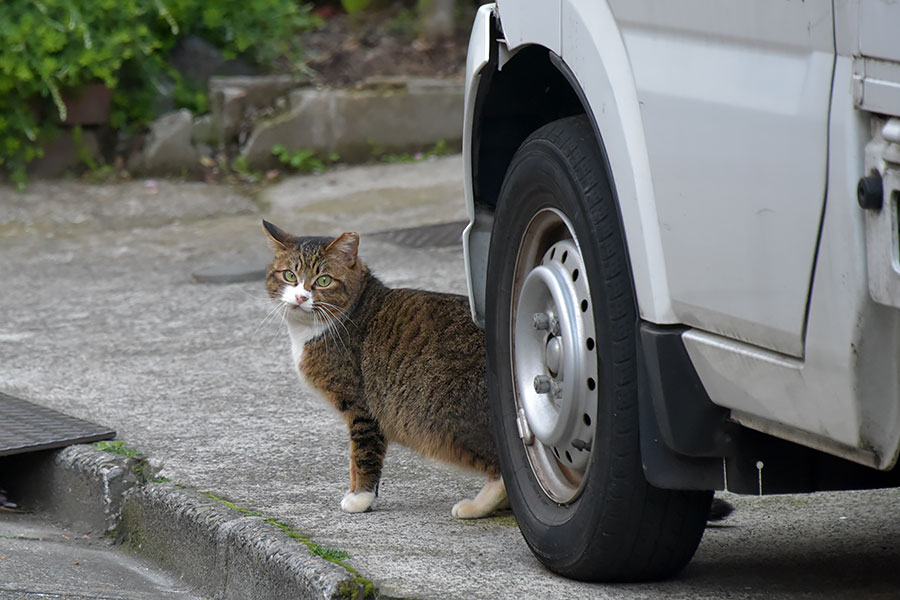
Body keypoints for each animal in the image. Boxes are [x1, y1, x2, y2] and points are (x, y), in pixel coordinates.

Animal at [264, 218, 510, 516]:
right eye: (289, 275)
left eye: (323, 280)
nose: (300, 297)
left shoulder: (362, 408)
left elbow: (362, 456)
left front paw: (360, 498)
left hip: (449, 422)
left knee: (504, 471)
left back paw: (475, 507)